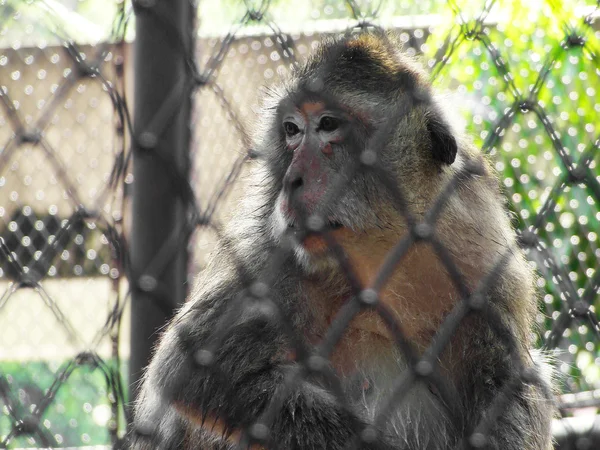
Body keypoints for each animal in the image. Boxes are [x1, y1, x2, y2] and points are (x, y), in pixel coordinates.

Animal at [129, 32, 556, 450]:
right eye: (292, 130)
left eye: (328, 124)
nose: (292, 180)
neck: (384, 250)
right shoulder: (267, 260)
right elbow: (191, 371)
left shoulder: (483, 259)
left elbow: (508, 384)